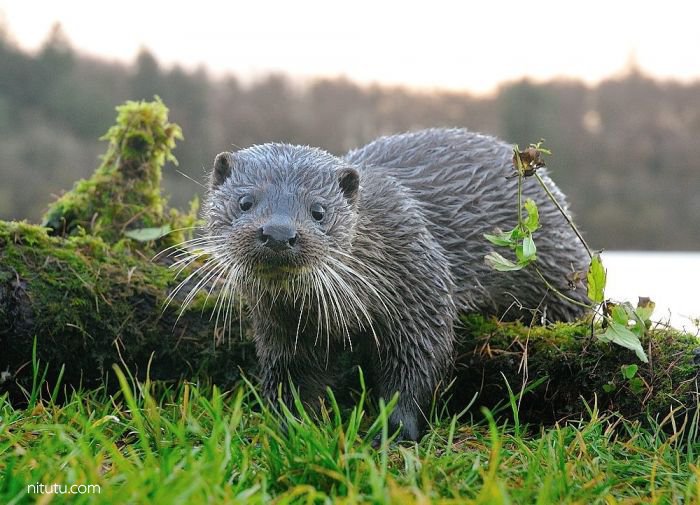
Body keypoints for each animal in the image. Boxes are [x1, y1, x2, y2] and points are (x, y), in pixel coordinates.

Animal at [198, 128, 592, 440]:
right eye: (245, 201)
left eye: (319, 211)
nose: (279, 233)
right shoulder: (281, 328)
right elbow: (290, 376)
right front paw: (288, 426)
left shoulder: (420, 285)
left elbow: (418, 364)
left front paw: (394, 430)